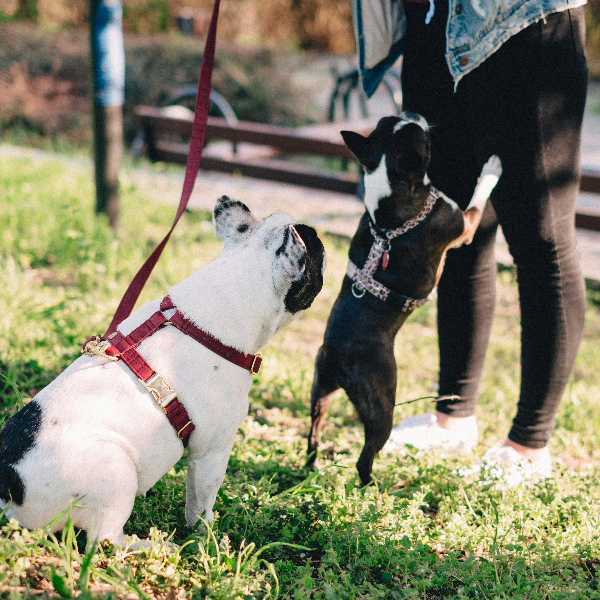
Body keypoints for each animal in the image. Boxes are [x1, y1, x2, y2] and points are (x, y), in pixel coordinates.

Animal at [0, 196, 326, 544]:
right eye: (316, 250)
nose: (322, 245)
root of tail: (9, 489)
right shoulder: (213, 450)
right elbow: (201, 501)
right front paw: (207, 538)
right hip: (116, 469)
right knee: (105, 540)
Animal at [304, 112, 502, 486]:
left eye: (389, 121)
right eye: (422, 137)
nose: (415, 114)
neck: (389, 205)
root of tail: (338, 353)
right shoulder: (462, 224)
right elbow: (477, 198)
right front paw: (492, 169)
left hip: (320, 390)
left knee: (313, 431)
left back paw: (311, 466)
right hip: (381, 406)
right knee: (365, 456)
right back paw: (375, 486)